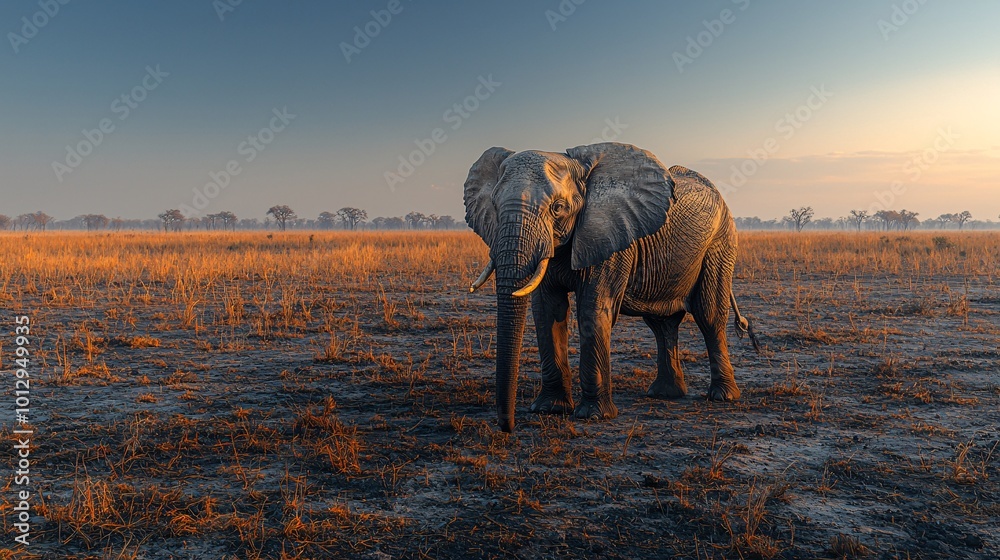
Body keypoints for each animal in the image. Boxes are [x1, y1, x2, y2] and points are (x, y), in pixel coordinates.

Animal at [464, 142, 759, 433]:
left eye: (557, 208)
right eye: (494, 205)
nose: (508, 426)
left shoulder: (610, 237)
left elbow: (592, 309)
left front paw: (593, 416)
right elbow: (548, 312)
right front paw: (549, 409)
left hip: (720, 242)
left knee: (709, 315)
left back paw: (722, 397)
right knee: (661, 323)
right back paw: (665, 394)